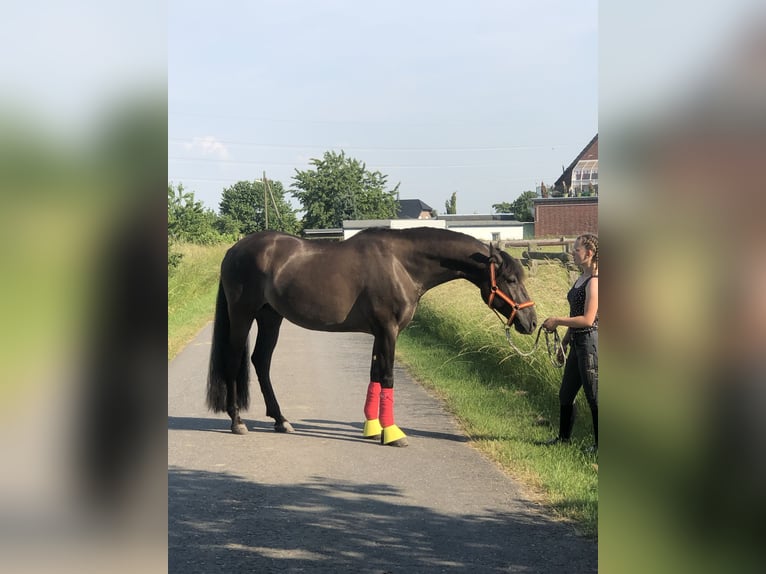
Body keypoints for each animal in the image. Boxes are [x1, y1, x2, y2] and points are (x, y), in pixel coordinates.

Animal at [207, 226, 537, 447]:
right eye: (509, 279)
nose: (531, 321)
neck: (401, 263)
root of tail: (234, 250)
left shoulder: (380, 332)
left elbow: (375, 376)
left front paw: (373, 428)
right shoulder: (389, 330)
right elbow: (387, 377)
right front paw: (393, 434)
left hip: (271, 317)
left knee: (260, 361)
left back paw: (280, 420)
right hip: (243, 314)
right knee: (234, 361)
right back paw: (237, 422)